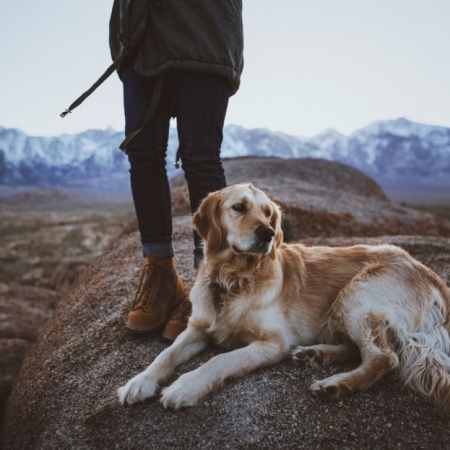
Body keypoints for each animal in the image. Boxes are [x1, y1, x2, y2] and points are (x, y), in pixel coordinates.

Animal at [118, 183, 450, 412]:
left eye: (269, 214)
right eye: (239, 207)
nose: (267, 233)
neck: (233, 279)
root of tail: (433, 277)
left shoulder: (272, 342)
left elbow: (219, 360)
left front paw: (185, 386)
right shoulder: (197, 328)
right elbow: (165, 354)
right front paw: (139, 381)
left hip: (356, 294)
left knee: (385, 357)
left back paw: (336, 385)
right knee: (360, 350)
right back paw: (315, 354)